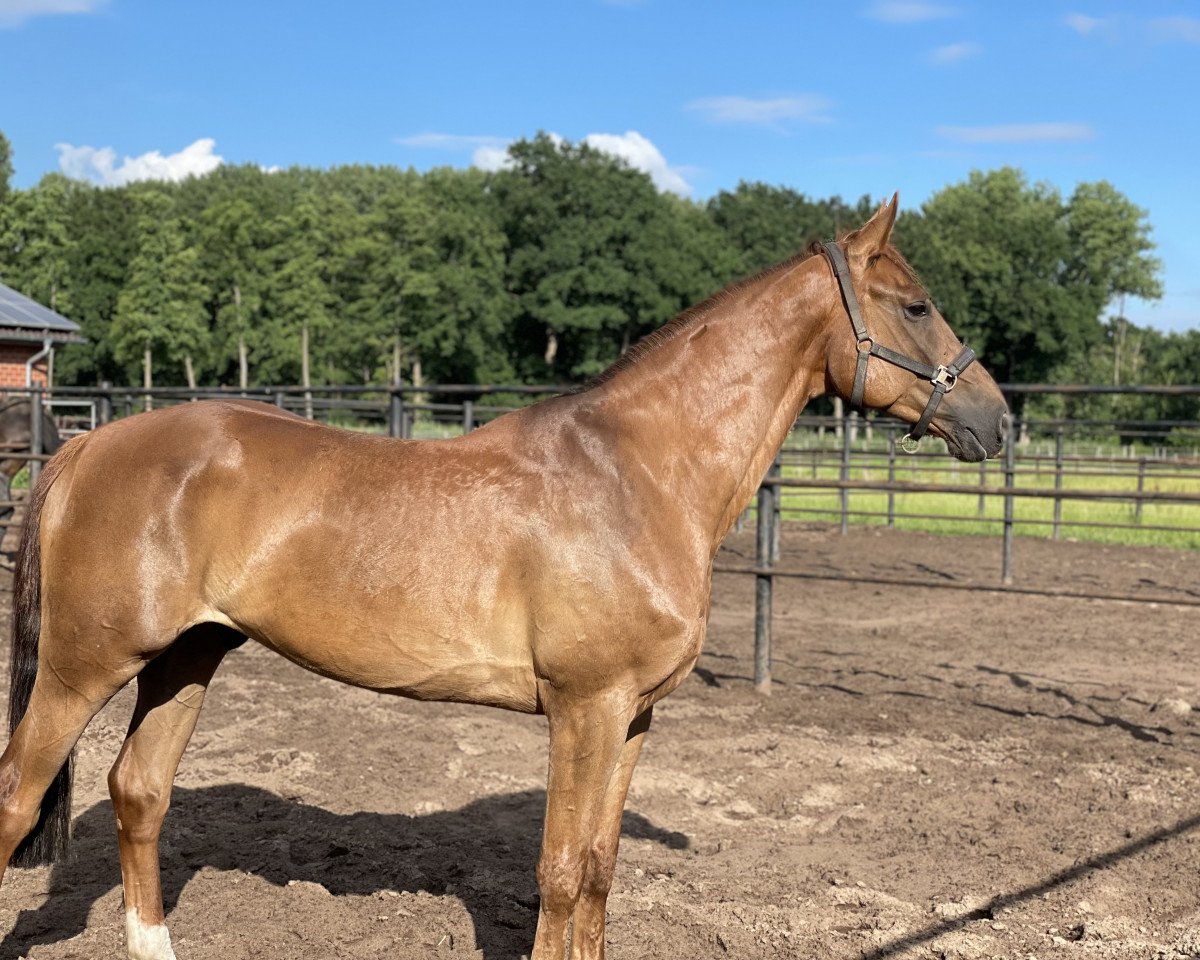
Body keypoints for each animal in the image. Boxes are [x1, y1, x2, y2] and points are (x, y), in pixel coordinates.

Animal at [0, 196, 1008, 960]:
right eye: (917, 306)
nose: (996, 421)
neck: (636, 472)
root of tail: (90, 444)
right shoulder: (584, 709)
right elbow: (559, 873)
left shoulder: (632, 716)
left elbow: (597, 869)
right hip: (85, 668)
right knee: (18, 793)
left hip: (187, 657)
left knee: (138, 792)